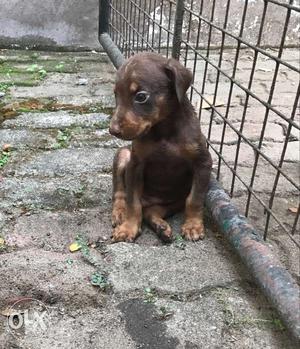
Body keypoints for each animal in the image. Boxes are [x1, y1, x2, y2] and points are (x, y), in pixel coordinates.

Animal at [109, 52, 212, 242]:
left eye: (141, 96)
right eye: (116, 95)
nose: (112, 130)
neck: (164, 130)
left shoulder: (203, 162)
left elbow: (195, 199)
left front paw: (193, 226)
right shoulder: (135, 164)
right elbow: (132, 202)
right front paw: (128, 228)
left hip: (174, 201)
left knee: (152, 211)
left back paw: (161, 227)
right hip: (123, 155)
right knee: (121, 193)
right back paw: (120, 213)